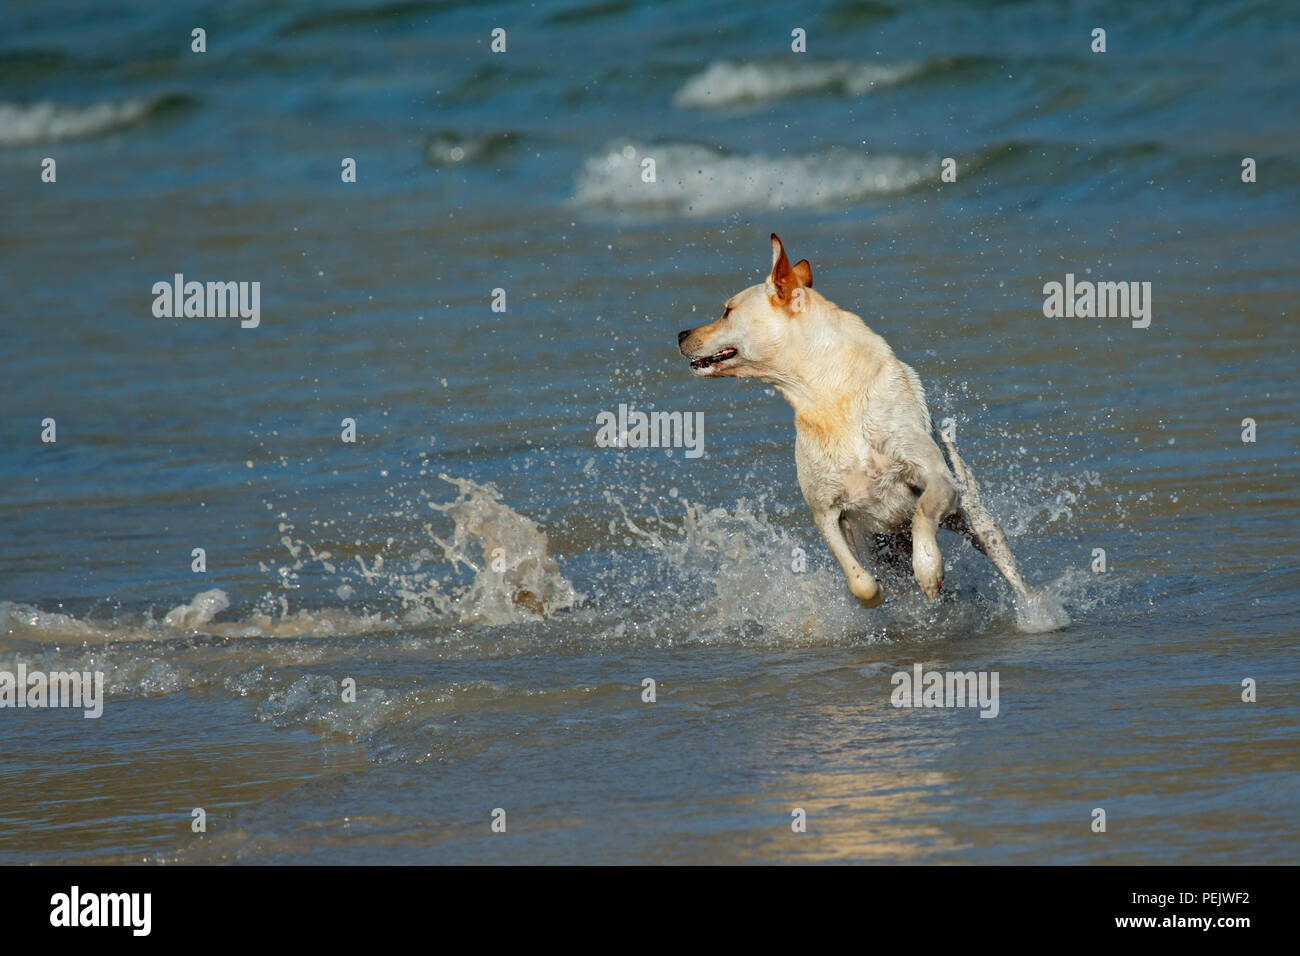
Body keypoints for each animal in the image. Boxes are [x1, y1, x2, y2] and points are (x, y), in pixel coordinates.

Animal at [681, 234, 1034, 608]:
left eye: (727, 311)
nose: (680, 335)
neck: (828, 394)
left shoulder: (935, 477)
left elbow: (922, 511)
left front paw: (928, 568)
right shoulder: (826, 512)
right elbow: (859, 580)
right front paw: (876, 594)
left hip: (978, 520)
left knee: (1010, 571)